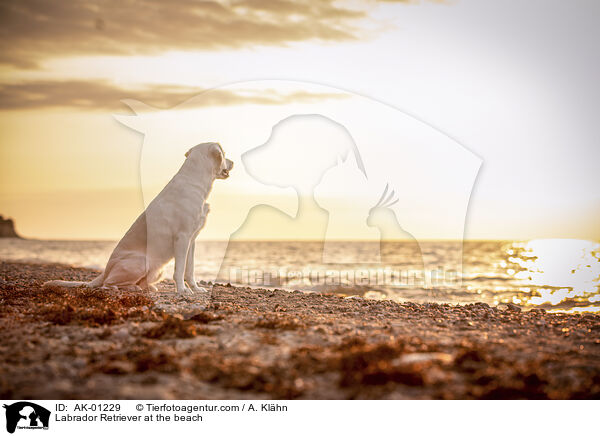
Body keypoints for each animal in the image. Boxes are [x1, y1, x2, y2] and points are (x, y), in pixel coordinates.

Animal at [42, 143, 233, 296]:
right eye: (224, 153)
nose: (233, 162)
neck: (196, 181)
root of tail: (105, 270)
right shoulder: (182, 237)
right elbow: (179, 270)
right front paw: (182, 291)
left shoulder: (192, 240)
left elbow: (190, 270)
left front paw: (196, 289)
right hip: (141, 262)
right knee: (108, 284)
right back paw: (129, 288)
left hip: (157, 270)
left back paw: (147, 288)